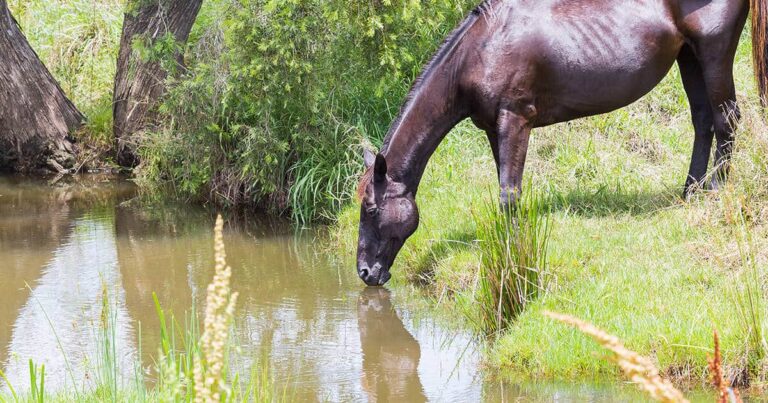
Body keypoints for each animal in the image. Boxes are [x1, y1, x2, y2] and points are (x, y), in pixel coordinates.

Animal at [355, 0, 768, 286]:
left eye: (372, 209)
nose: (364, 272)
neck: (482, 50)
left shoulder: (516, 120)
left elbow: (508, 193)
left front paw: (511, 253)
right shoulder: (493, 129)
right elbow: (507, 188)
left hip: (713, 53)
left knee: (726, 119)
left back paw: (716, 189)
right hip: (688, 56)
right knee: (702, 121)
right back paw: (690, 191)